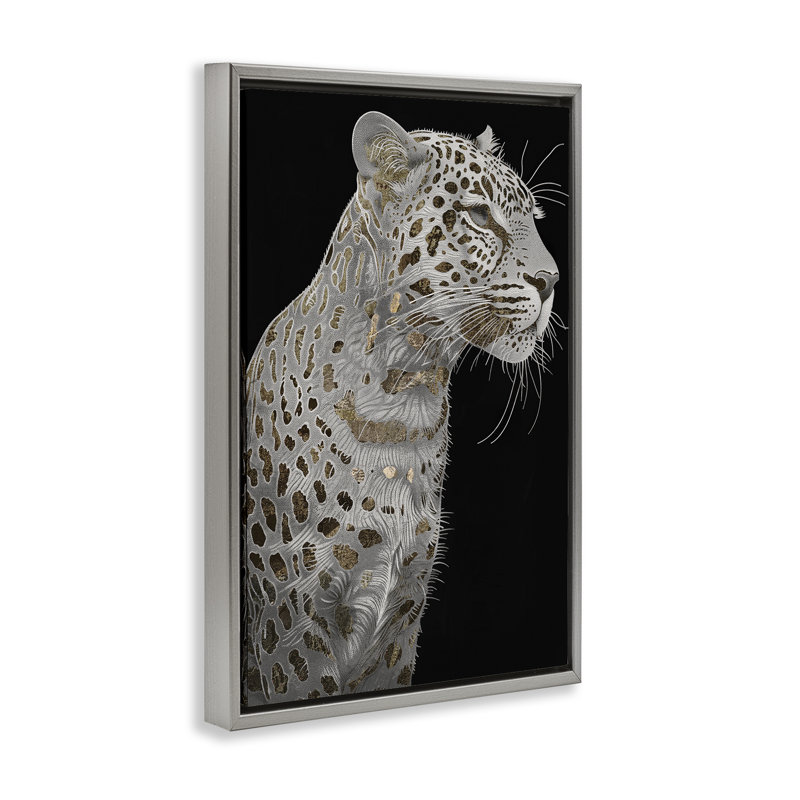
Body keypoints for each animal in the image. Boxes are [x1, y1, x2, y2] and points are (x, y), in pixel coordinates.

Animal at [242, 111, 561, 705]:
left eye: (532, 217)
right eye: (480, 216)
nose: (552, 281)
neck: (406, 399)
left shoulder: (402, 617)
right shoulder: (294, 626)